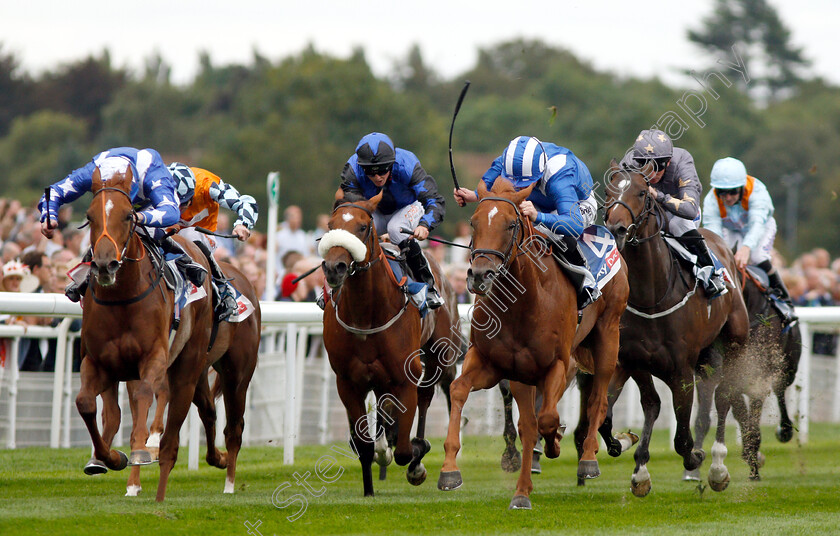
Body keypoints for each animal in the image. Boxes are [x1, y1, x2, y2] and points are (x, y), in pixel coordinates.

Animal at [124, 258, 260, 496]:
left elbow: (162, 398)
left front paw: (155, 440)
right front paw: (134, 483)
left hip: (236, 375)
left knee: (234, 428)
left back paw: (229, 485)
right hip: (200, 375)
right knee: (209, 411)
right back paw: (218, 458)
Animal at [320, 189, 460, 498]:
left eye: (362, 227)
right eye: (330, 225)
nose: (334, 268)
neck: (366, 314)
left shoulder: (404, 377)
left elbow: (406, 451)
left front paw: (416, 458)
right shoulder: (348, 382)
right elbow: (363, 445)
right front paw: (369, 489)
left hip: (435, 357)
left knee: (425, 398)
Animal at [436, 178, 628, 508]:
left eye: (511, 224)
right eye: (473, 222)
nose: (480, 276)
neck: (522, 303)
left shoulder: (557, 363)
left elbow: (548, 418)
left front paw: (556, 444)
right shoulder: (495, 364)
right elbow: (459, 390)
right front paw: (450, 471)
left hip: (608, 333)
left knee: (598, 398)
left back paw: (588, 459)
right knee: (530, 422)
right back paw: (523, 488)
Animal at [600, 161, 752, 496]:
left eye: (641, 192)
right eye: (608, 191)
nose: (616, 229)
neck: (652, 296)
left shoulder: (681, 371)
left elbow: (682, 438)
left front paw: (696, 457)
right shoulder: (634, 361)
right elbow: (647, 406)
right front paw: (638, 465)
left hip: (735, 343)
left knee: (724, 396)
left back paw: (718, 465)